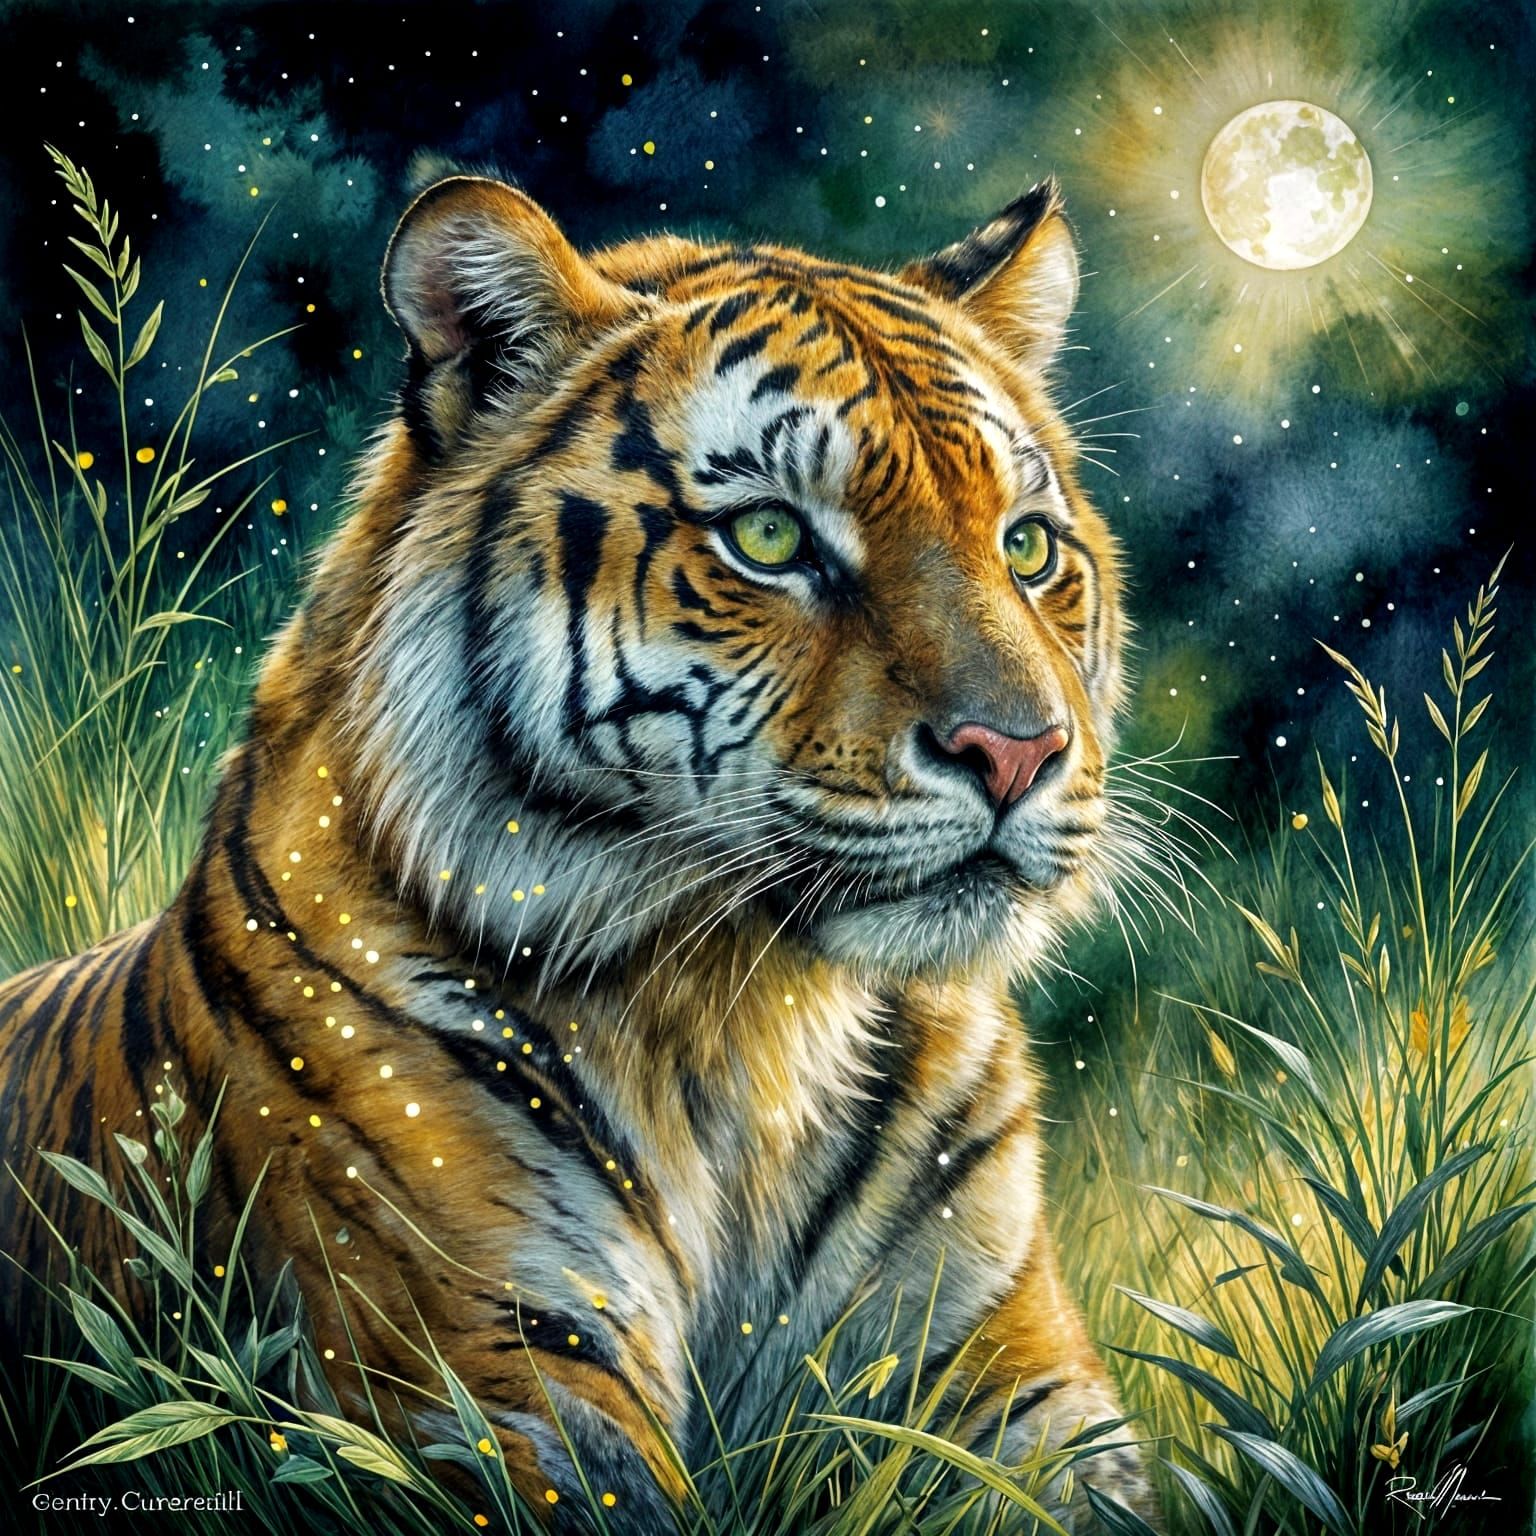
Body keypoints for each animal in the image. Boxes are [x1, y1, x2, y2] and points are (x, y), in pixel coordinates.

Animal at [0, 174, 1154, 1530]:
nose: (1020, 752)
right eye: (770, 538)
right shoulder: (503, 1377)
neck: (752, 1022)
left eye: (1026, 547)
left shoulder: (1008, 1383)